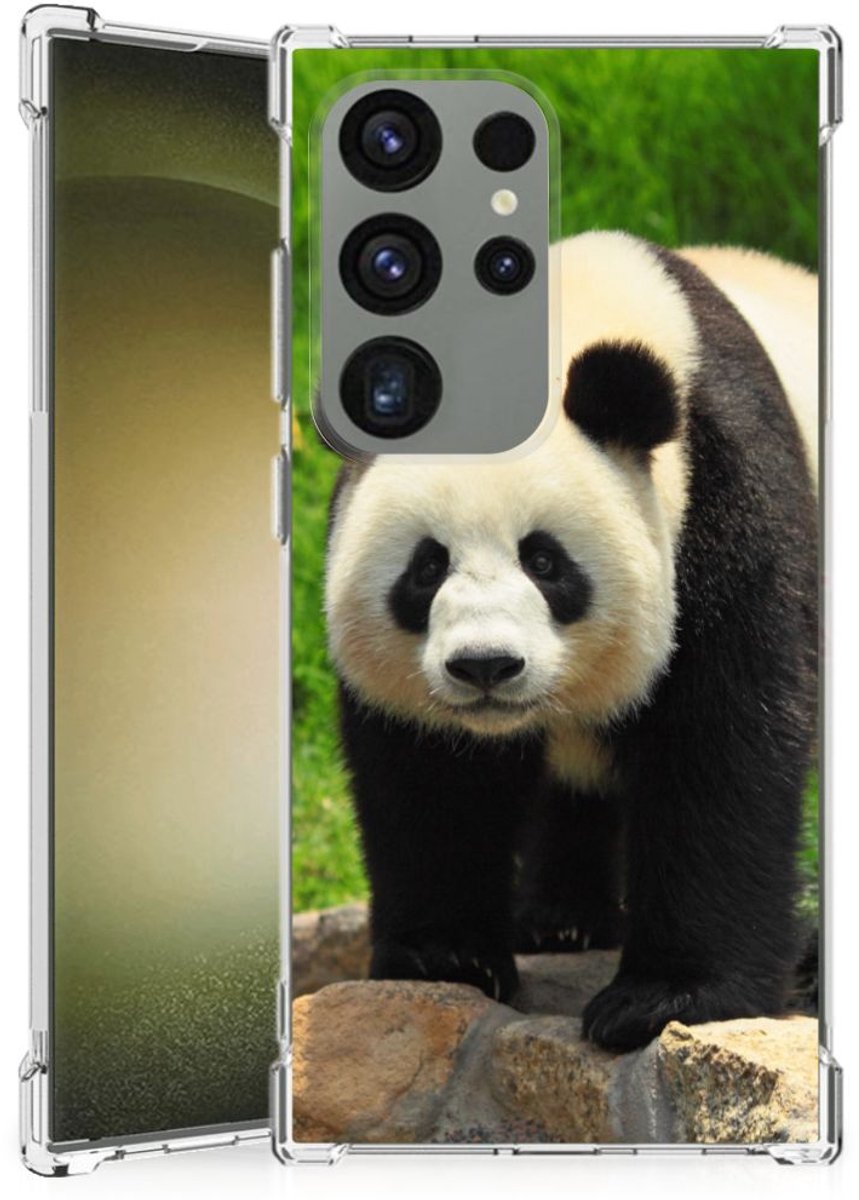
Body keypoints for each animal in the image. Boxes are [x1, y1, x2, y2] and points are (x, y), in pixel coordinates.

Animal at [324, 231, 818, 1053]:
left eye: (545, 561)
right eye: (427, 567)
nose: (485, 666)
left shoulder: (730, 500)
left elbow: (721, 747)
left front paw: (665, 998)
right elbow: (430, 776)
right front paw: (444, 956)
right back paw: (560, 920)